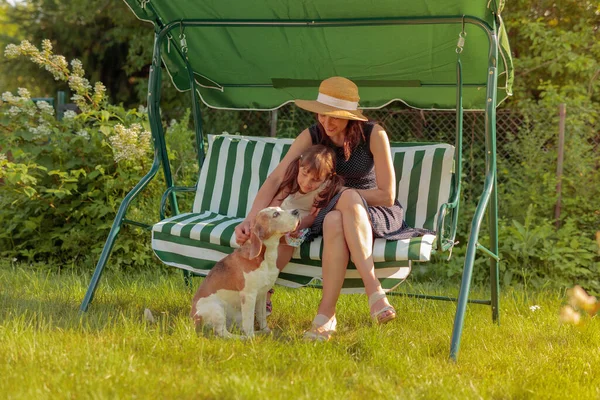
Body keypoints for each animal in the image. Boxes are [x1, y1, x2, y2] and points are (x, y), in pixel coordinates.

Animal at [191, 206, 298, 338]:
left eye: (280, 209)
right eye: (275, 214)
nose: (296, 211)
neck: (265, 256)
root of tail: (192, 319)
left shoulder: (262, 294)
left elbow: (262, 317)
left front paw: (266, 331)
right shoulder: (249, 296)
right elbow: (249, 321)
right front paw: (251, 338)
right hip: (217, 308)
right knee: (223, 333)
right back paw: (244, 338)